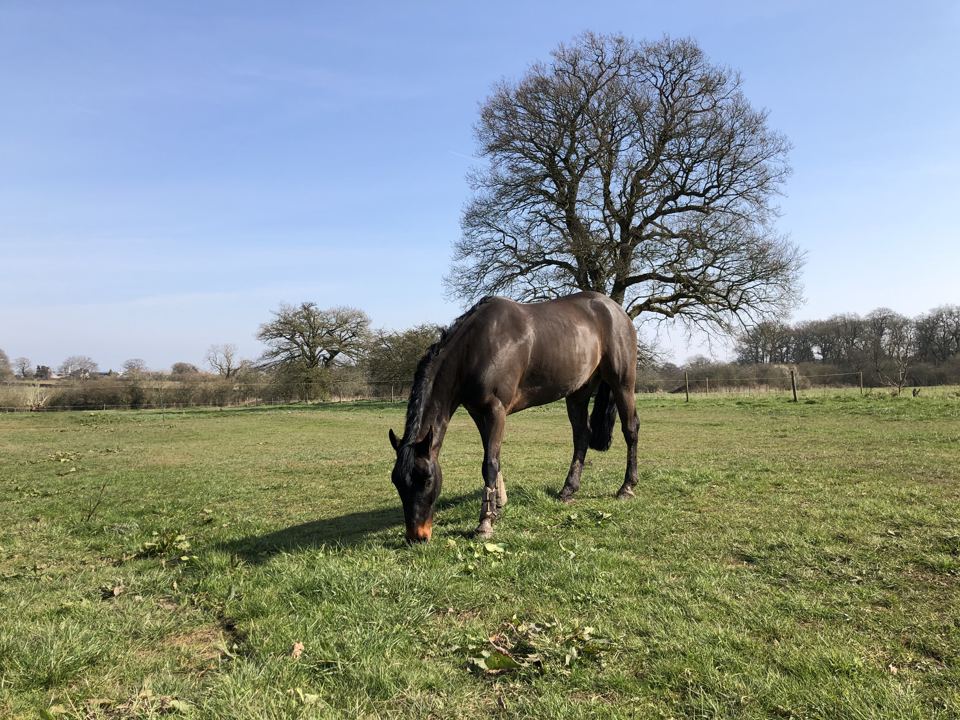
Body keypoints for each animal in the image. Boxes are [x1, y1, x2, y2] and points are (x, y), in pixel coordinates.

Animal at [388, 291, 639, 543]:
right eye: (397, 482)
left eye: (427, 479)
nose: (416, 536)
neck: (476, 347)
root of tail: (614, 309)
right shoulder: (478, 413)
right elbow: (493, 457)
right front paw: (497, 506)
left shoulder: (495, 411)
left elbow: (489, 463)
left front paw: (485, 522)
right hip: (578, 393)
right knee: (581, 436)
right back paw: (568, 490)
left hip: (622, 383)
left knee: (630, 429)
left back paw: (627, 487)